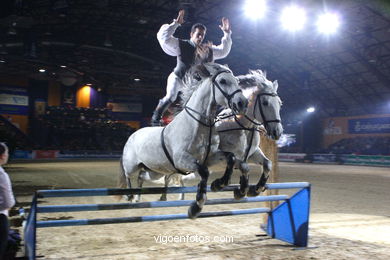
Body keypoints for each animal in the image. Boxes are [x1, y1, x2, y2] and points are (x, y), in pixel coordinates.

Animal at [117, 62, 248, 217]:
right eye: (222, 81)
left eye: (237, 81)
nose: (242, 103)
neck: (199, 125)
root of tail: (133, 134)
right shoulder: (182, 160)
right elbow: (204, 172)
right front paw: (196, 207)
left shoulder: (210, 157)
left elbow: (232, 158)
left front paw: (223, 184)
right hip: (132, 165)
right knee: (128, 175)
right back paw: (130, 196)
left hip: (154, 170)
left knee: (142, 176)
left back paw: (146, 197)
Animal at [139, 68, 282, 199]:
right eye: (265, 103)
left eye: (279, 103)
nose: (277, 132)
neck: (242, 128)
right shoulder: (219, 160)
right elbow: (241, 166)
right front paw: (227, 186)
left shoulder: (252, 154)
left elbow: (267, 164)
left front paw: (255, 189)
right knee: (169, 177)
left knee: (175, 178)